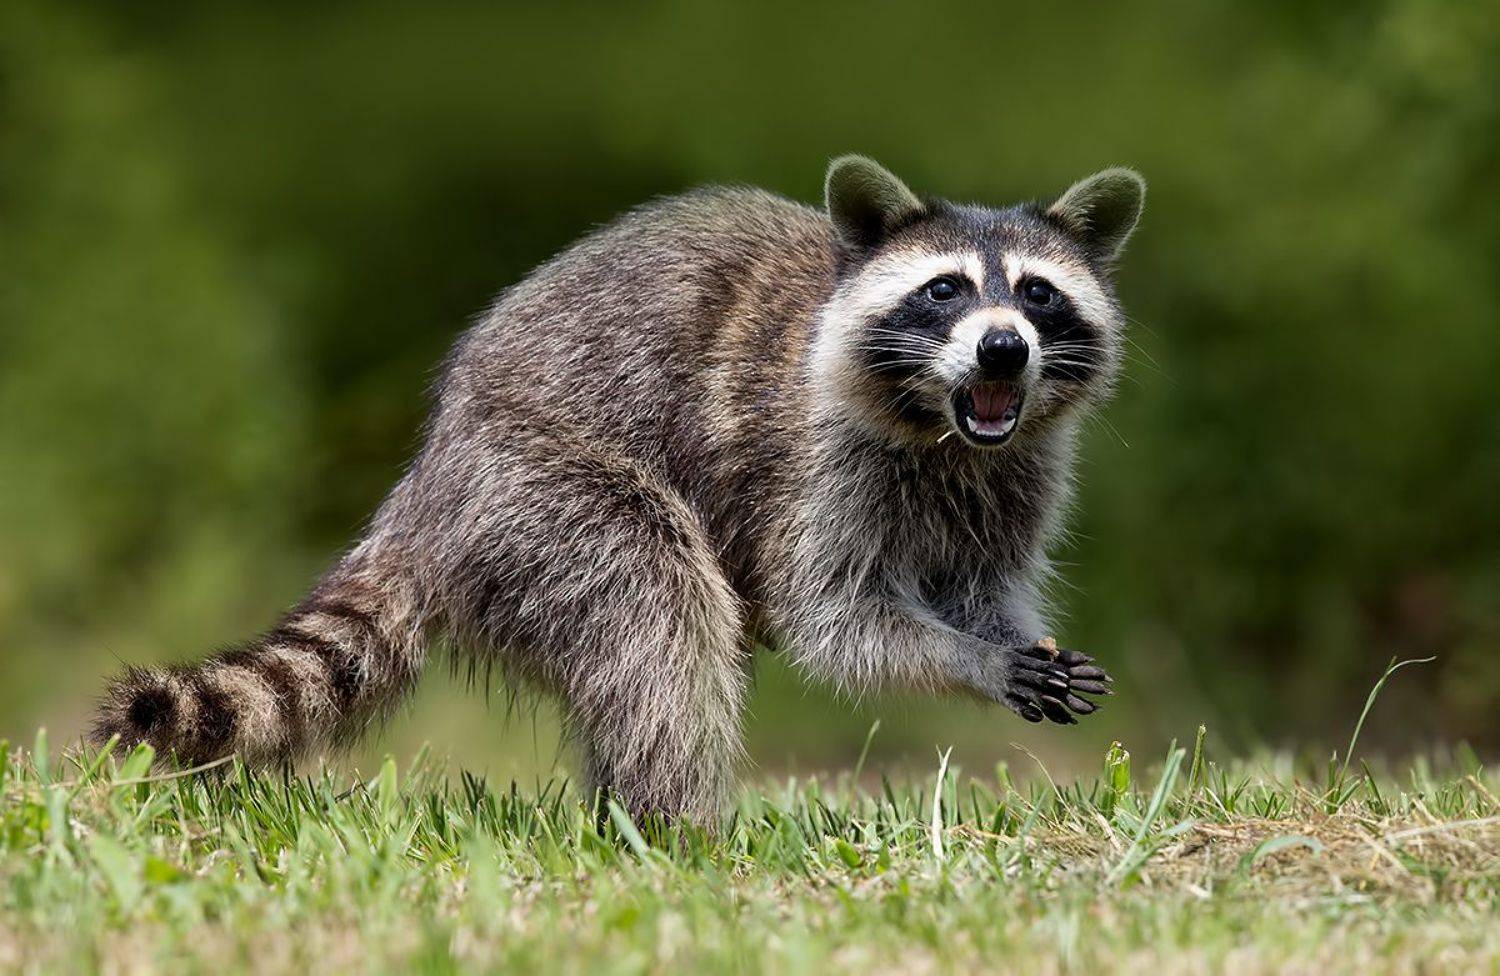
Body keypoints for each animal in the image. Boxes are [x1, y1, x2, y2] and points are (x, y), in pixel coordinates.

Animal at [92, 156, 1145, 822]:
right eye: (945, 290)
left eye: (1038, 293)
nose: (1004, 347)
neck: (947, 432)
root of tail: (427, 481)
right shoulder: (811, 463)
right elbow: (830, 618)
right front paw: (970, 661)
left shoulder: (1017, 477)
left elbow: (977, 584)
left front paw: (1010, 642)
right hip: (538, 492)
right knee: (659, 618)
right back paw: (676, 827)